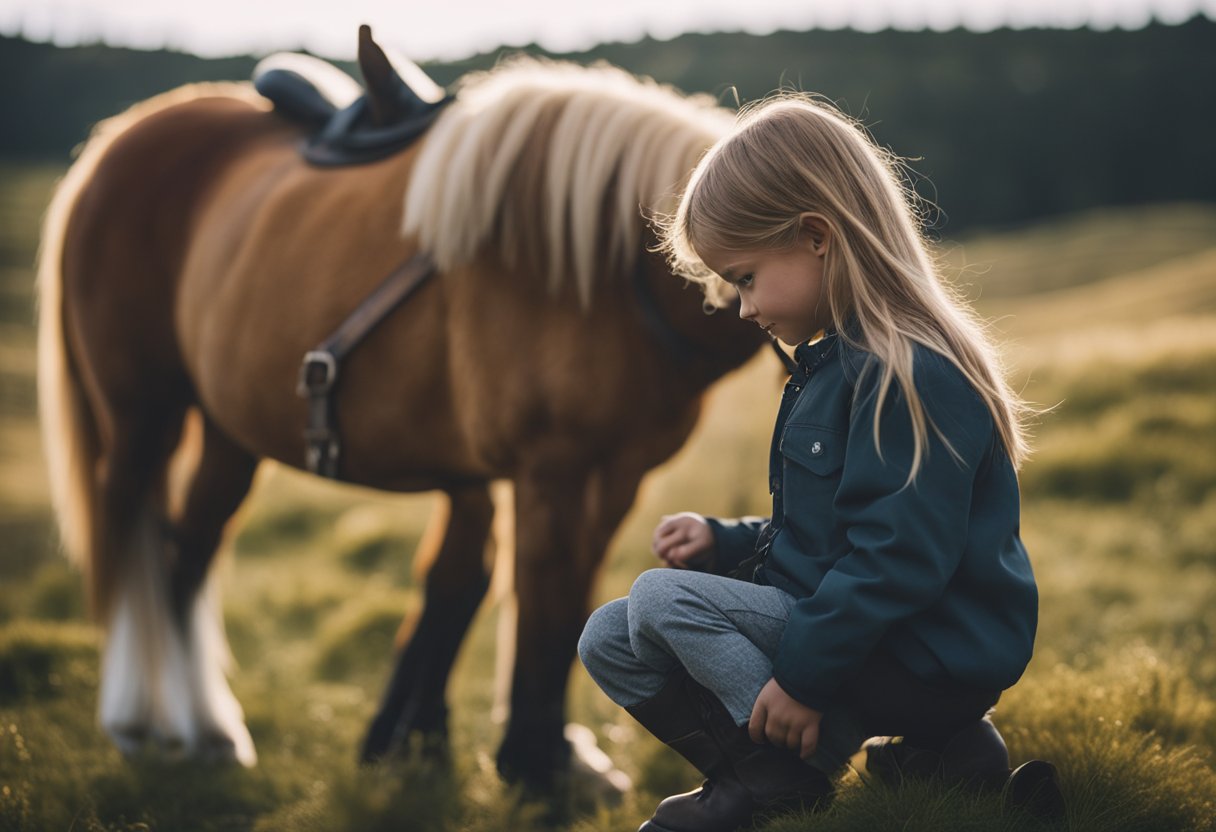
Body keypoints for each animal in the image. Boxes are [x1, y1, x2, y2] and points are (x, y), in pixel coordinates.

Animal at [40, 32, 768, 788]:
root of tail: (122, 139)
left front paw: (528, 754)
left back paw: (209, 731)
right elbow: (542, 602)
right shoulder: (553, 470)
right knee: (130, 544)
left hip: (227, 433)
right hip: (141, 417)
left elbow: (549, 597)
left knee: (187, 556)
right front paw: (534, 769)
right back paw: (138, 723)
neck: (610, 265)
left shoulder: (614, 475)